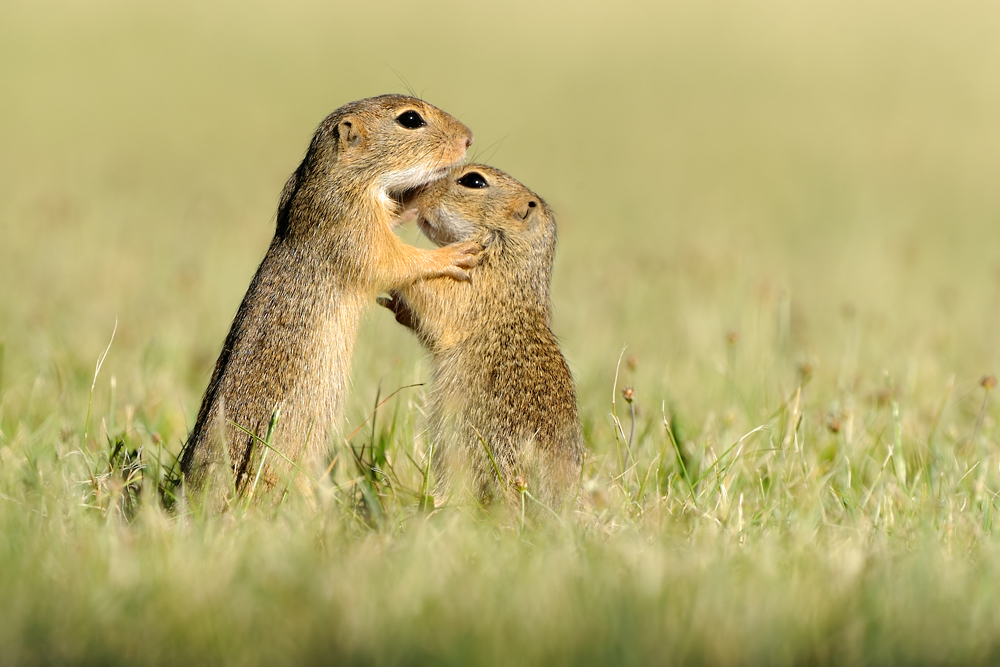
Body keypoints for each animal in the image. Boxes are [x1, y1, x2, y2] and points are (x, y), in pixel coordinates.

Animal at [182, 95, 478, 512]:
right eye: (410, 119)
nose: (468, 138)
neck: (334, 175)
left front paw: (415, 199)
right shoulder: (352, 225)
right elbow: (393, 261)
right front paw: (456, 254)